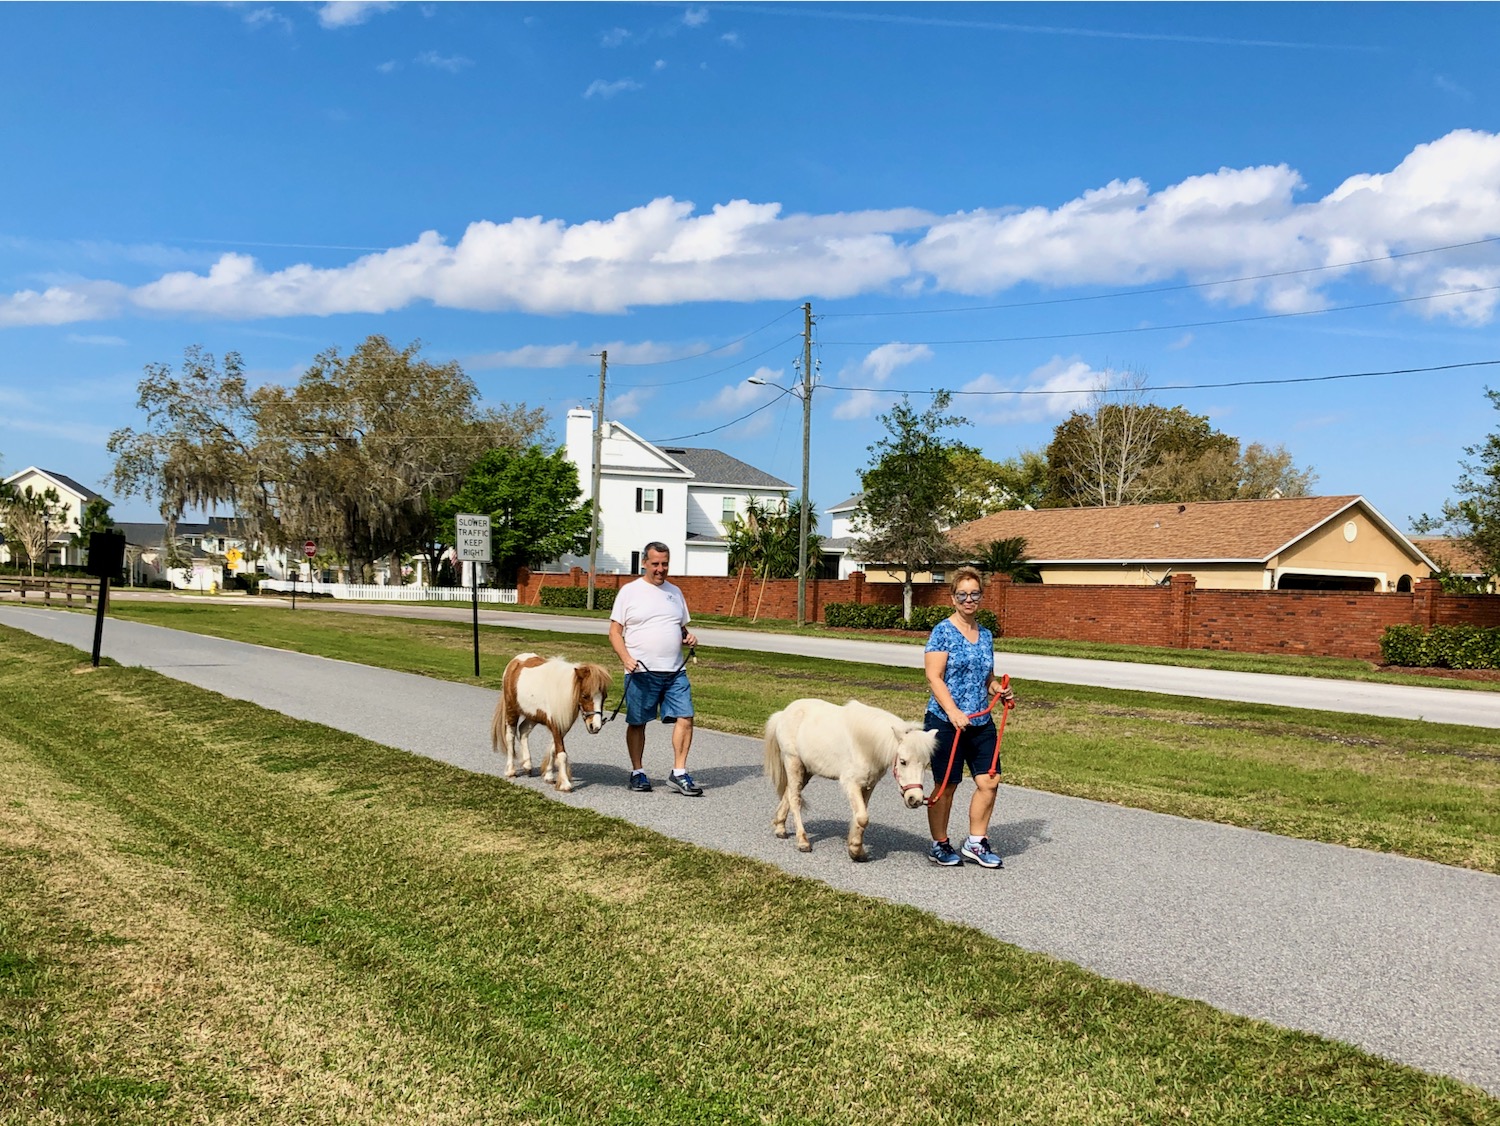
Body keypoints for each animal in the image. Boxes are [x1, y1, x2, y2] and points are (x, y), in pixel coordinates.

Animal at [491, 653, 612, 793]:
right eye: (585, 695)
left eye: (604, 696)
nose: (595, 726)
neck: (562, 691)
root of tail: (515, 661)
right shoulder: (556, 725)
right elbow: (561, 753)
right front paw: (565, 784)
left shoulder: (562, 726)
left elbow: (553, 749)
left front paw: (548, 776)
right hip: (512, 710)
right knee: (510, 737)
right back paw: (511, 771)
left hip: (533, 716)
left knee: (523, 730)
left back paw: (527, 765)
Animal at [763, 698, 938, 862]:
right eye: (902, 761)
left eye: (926, 764)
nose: (915, 799)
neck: (865, 745)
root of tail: (783, 714)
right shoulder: (851, 784)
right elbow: (862, 817)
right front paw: (855, 850)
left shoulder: (868, 785)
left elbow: (860, 816)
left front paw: (856, 848)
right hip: (793, 762)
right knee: (795, 798)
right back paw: (802, 841)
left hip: (806, 770)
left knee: (788, 793)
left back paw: (780, 827)